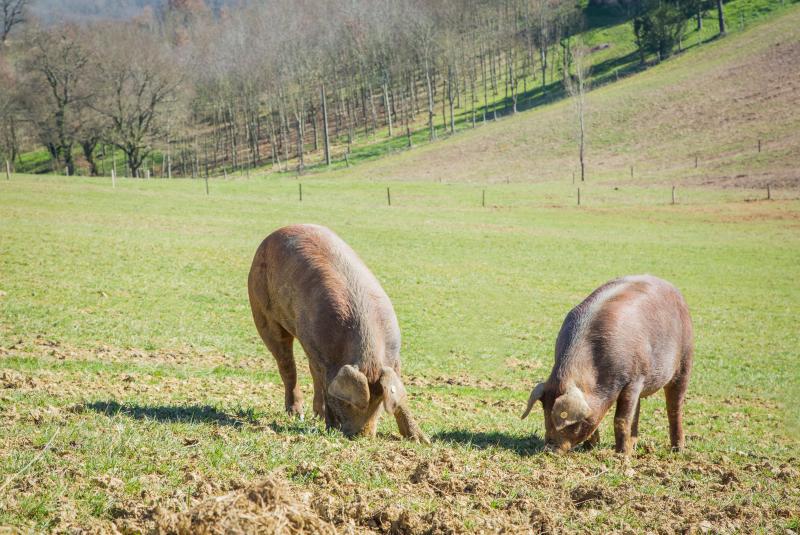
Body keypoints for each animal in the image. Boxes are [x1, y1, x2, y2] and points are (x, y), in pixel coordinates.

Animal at [247, 223, 428, 444]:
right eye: (346, 402)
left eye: (379, 401)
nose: (361, 436)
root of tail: (278, 231)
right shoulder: (321, 354)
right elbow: (324, 382)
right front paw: (329, 426)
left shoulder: (394, 358)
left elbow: (400, 395)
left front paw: (422, 440)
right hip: (261, 309)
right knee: (287, 365)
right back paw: (297, 413)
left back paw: (316, 415)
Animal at [520, 276, 692, 456]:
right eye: (545, 413)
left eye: (569, 422)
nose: (549, 450)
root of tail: (670, 285)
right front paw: (590, 448)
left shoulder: (634, 379)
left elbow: (621, 419)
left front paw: (621, 456)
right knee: (637, 411)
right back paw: (633, 447)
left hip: (685, 358)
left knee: (674, 407)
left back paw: (677, 450)